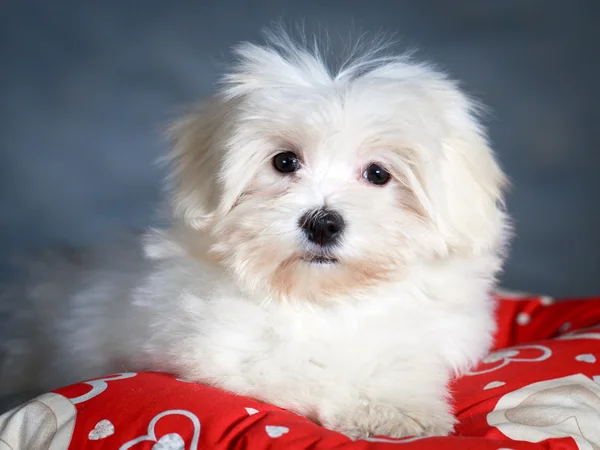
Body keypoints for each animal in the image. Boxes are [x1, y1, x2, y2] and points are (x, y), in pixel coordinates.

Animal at [1, 31, 510, 440]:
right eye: (284, 161)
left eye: (378, 174)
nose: (322, 222)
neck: (320, 299)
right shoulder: (218, 351)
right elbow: (297, 367)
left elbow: (401, 358)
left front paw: (396, 409)